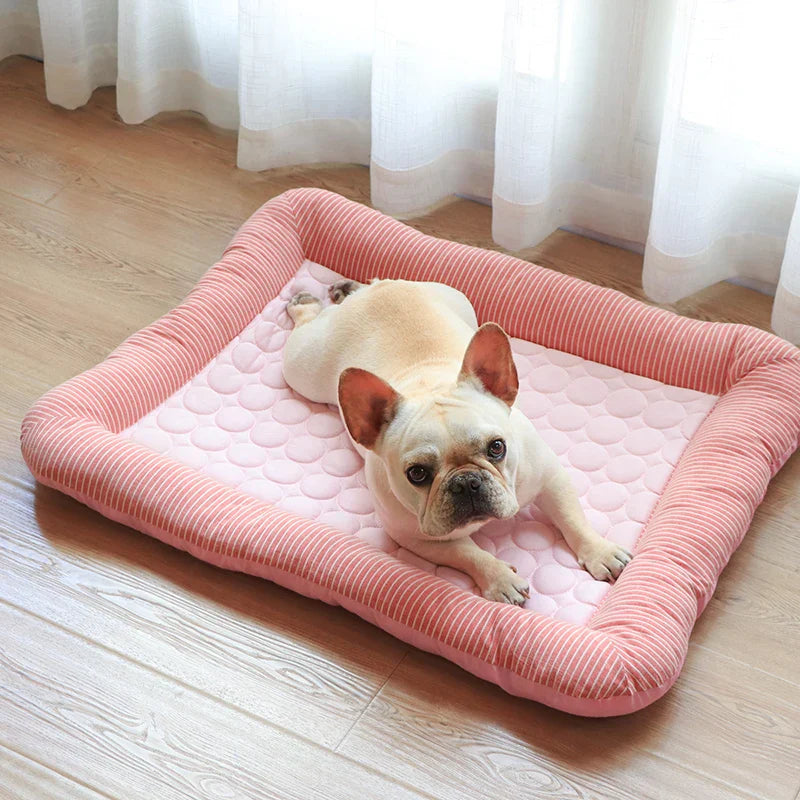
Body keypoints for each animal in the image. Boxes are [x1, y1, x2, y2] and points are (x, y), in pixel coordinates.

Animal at [282, 278, 632, 604]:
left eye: (497, 447)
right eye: (417, 474)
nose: (466, 483)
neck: (429, 382)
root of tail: (379, 288)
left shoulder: (550, 479)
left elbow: (572, 518)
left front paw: (600, 552)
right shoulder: (421, 538)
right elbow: (468, 553)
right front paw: (500, 579)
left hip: (460, 303)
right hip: (304, 367)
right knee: (304, 326)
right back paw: (307, 303)